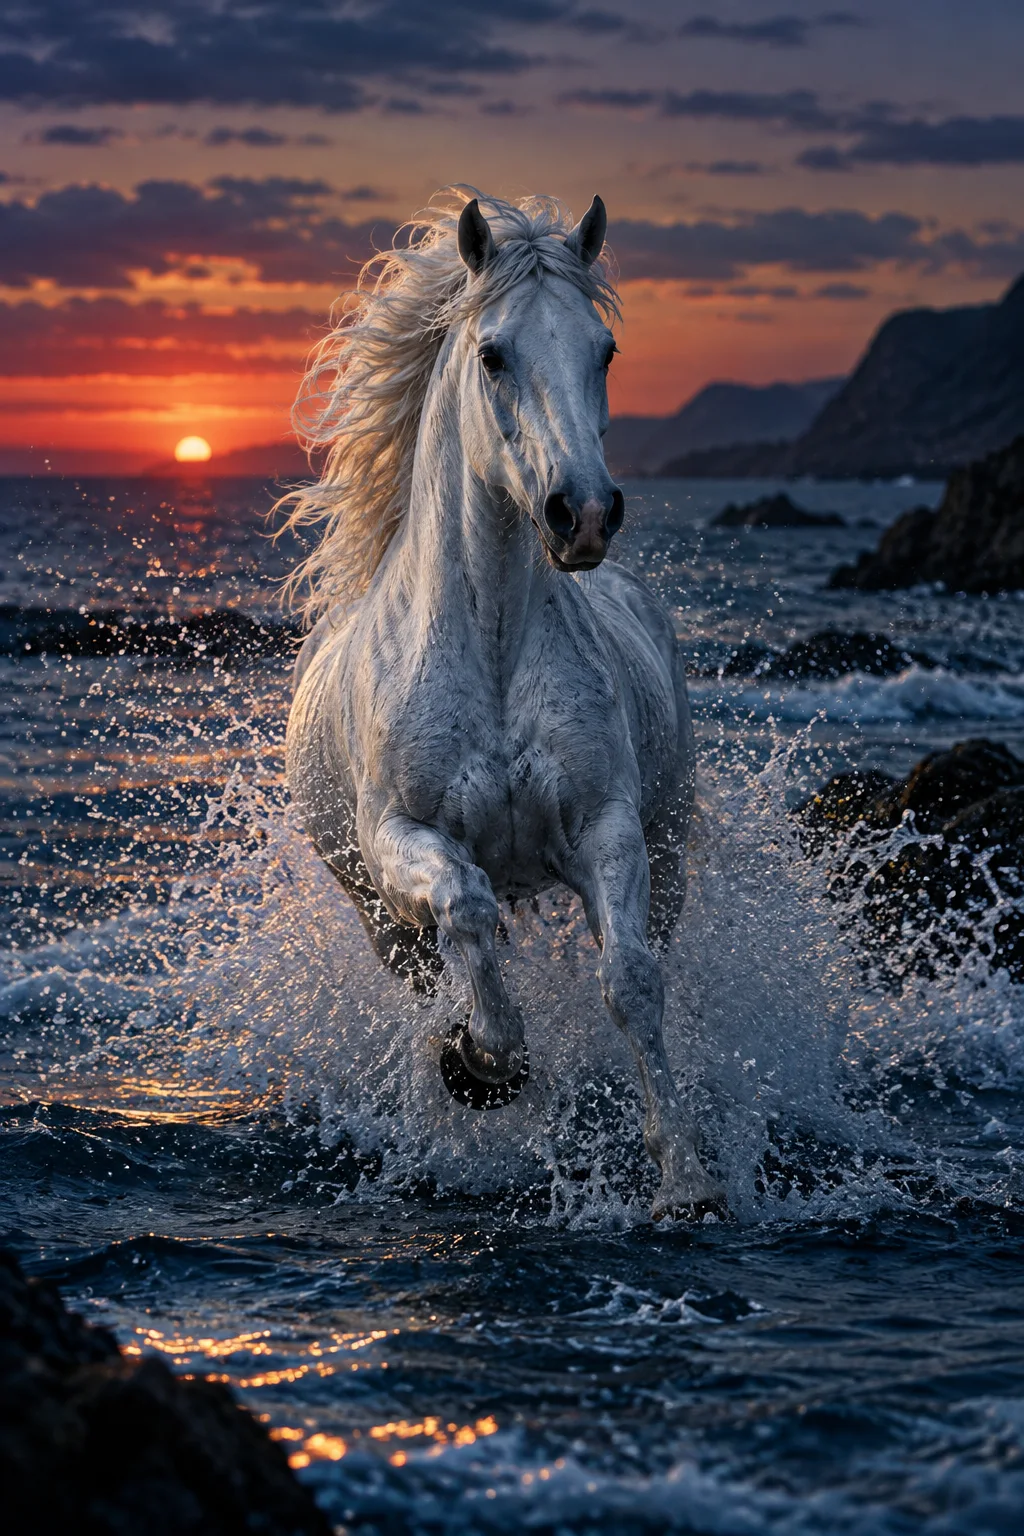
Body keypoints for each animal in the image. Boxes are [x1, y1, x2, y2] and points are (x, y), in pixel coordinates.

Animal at [281, 188, 725, 1221]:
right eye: (492, 354)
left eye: (604, 350)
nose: (584, 514)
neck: (487, 651)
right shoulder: (401, 839)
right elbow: (470, 911)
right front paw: (482, 1063)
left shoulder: (609, 828)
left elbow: (630, 983)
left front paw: (685, 1180)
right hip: (378, 919)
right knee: (437, 958)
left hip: (670, 856)